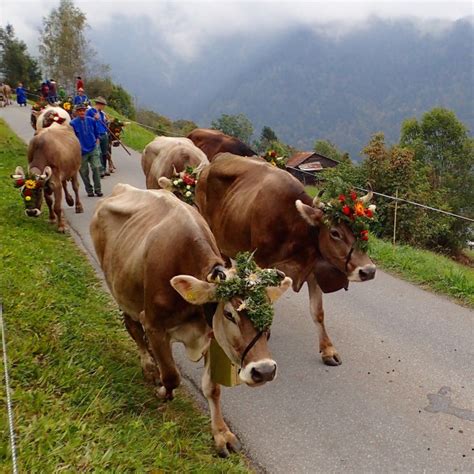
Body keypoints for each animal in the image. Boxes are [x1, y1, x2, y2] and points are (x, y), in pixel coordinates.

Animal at [88, 185, 288, 456]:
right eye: (229, 314)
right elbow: (172, 375)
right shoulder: (153, 324)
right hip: (121, 293)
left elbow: (212, 388)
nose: (264, 371)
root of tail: (121, 188)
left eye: (269, 313)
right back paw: (149, 366)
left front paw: (221, 434)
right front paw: (162, 390)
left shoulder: (210, 333)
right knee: (133, 329)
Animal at [194, 154, 376, 364]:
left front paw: (328, 350)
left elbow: (318, 312)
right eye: (335, 233)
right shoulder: (261, 262)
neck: (294, 226)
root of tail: (213, 162)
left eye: (362, 230)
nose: (369, 270)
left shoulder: (311, 268)